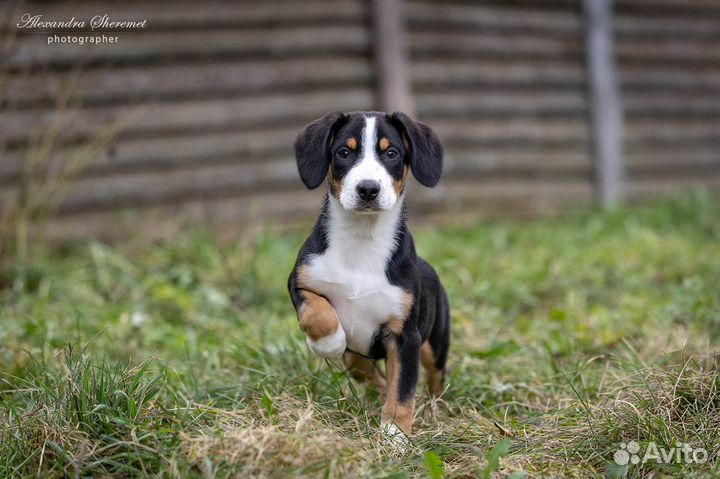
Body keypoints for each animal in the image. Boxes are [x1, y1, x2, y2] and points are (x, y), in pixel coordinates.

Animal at [286, 111, 450, 438]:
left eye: (392, 153)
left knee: (435, 377)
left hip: (436, 342)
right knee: (359, 364)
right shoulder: (301, 281)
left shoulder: (405, 336)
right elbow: (317, 312)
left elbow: (402, 390)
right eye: (344, 153)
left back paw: (435, 409)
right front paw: (328, 342)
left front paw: (394, 435)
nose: (368, 189)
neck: (362, 240)